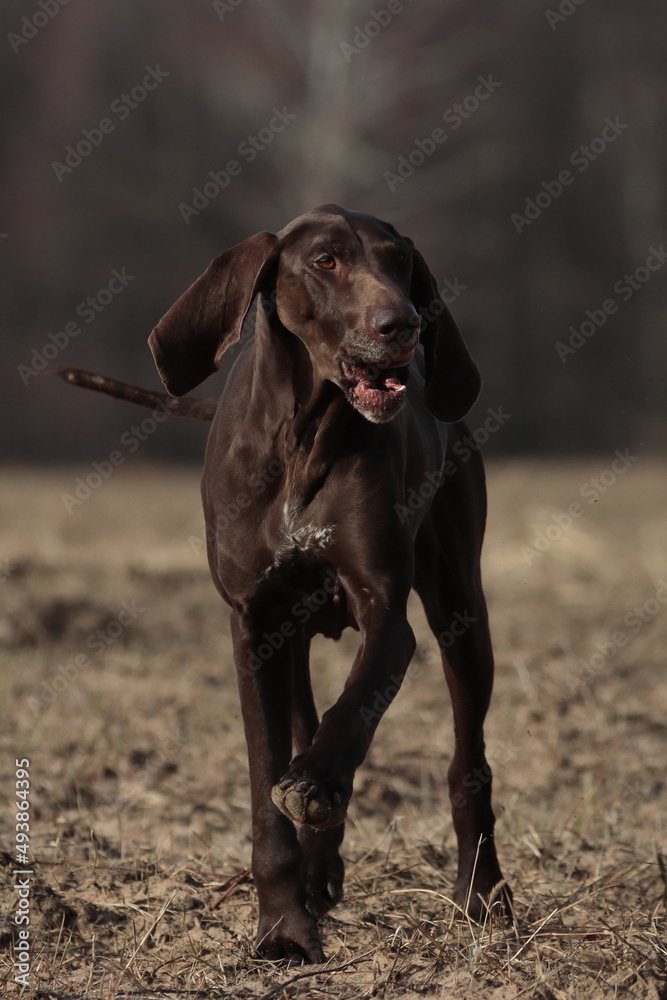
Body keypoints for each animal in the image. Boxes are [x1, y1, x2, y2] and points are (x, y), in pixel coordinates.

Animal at [147, 203, 512, 960]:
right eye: (325, 261)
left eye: (398, 261)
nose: (403, 323)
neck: (302, 439)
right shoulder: (254, 625)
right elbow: (267, 781)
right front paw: (283, 927)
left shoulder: (386, 615)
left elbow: (356, 706)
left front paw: (315, 782)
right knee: (303, 719)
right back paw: (318, 870)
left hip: (462, 612)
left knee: (467, 762)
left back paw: (482, 893)